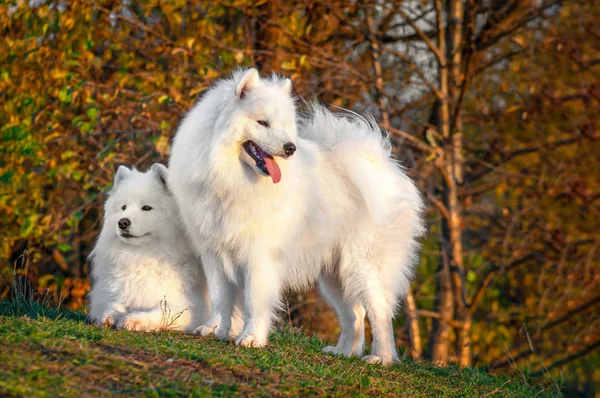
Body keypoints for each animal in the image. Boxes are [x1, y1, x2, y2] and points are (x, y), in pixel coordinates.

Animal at [166, 68, 424, 364]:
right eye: (263, 123)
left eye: (283, 125)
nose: (290, 148)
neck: (229, 176)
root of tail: (388, 169)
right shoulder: (214, 252)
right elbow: (220, 296)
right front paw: (213, 329)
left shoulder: (258, 256)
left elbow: (254, 300)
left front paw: (251, 338)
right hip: (334, 274)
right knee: (354, 314)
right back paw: (344, 351)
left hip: (365, 266)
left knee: (379, 311)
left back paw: (381, 357)